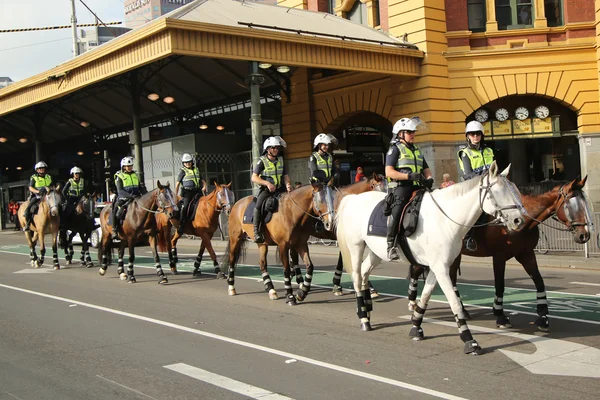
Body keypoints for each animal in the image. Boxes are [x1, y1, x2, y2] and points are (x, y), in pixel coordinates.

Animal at [336, 162, 528, 356]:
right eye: (498, 191)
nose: (519, 221)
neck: (446, 219)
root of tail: (353, 199)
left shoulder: (439, 267)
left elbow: (425, 297)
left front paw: (416, 327)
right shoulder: (441, 269)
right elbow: (454, 303)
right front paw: (469, 340)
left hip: (376, 253)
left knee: (365, 274)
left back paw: (367, 309)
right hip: (356, 248)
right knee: (357, 278)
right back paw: (363, 318)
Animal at [408, 176, 592, 332]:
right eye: (572, 205)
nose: (584, 235)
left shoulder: (526, 254)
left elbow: (539, 282)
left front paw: (543, 317)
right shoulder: (499, 257)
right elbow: (500, 285)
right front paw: (500, 316)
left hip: (453, 255)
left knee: (451, 279)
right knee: (418, 270)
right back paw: (412, 303)